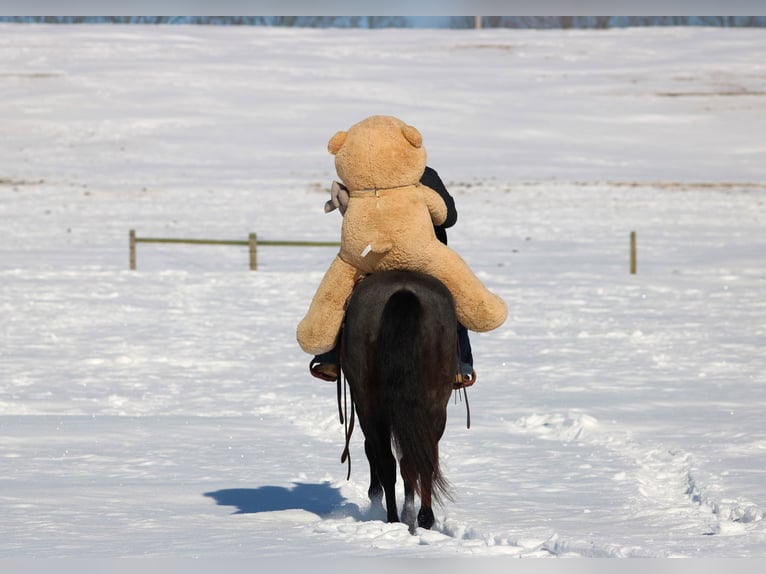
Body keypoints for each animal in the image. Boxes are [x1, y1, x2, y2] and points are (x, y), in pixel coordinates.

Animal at [339, 270, 458, 532]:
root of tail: (403, 292)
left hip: (370, 406)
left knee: (389, 461)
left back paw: (396, 519)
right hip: (434, 404)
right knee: (418, 461)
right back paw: (420, 520)